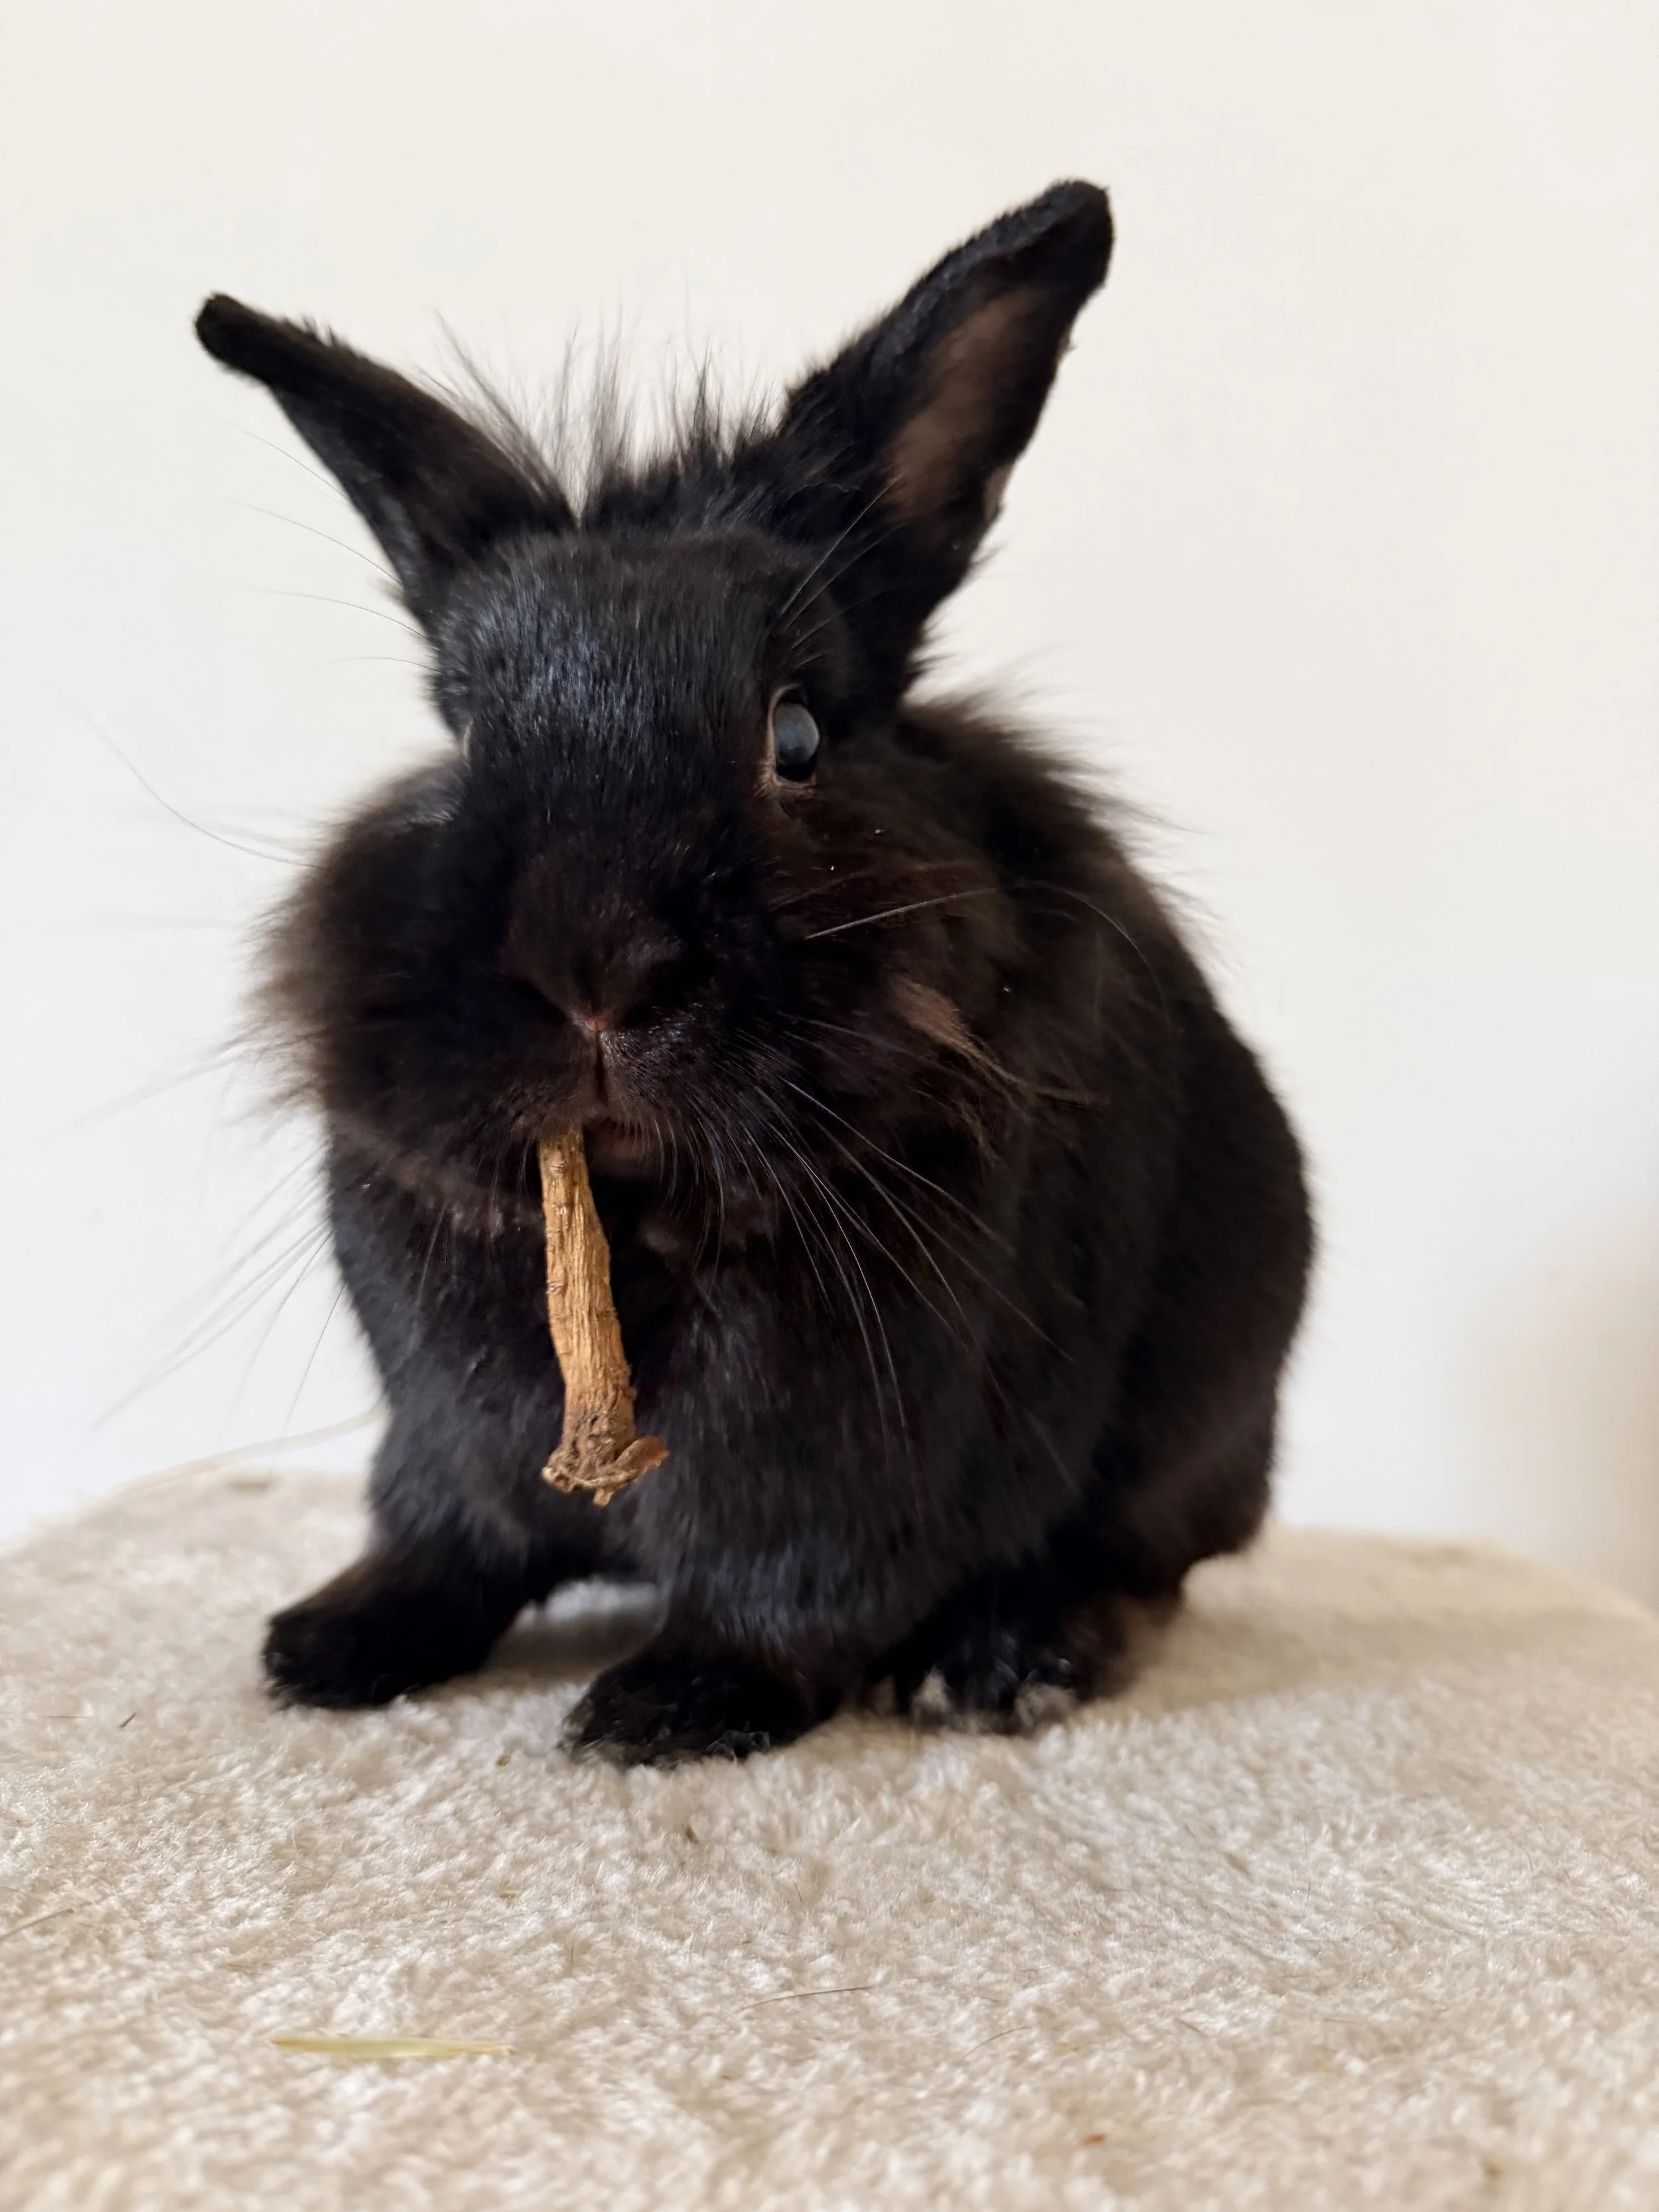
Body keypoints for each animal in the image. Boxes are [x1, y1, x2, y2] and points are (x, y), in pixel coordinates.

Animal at [195, 180, 1312, 1764]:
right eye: (462, 740)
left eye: (794, 736)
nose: (594, 967)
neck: (627, 1213)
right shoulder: (442, 1438)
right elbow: (438, 1539)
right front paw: (327, 1645)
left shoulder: (849, 1447)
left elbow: (788, 1591)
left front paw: (667, 1706)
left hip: (1199, 1409)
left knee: (1139, 1566)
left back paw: (1002, 1662)